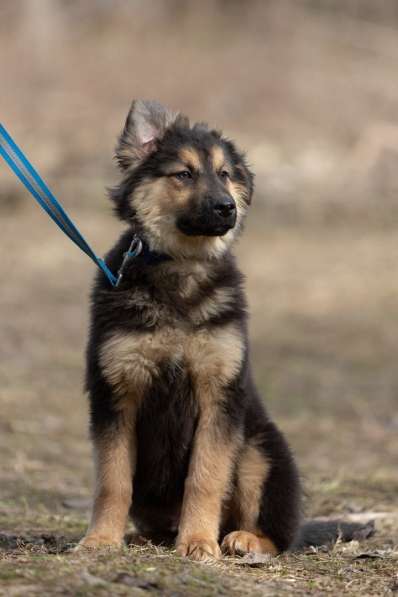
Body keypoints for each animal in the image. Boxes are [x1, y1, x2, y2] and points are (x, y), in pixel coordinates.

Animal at [78, 100, 366, 560]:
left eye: (226, 174)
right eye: (184, 174)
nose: (227, 207)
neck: (182, 266)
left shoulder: (219, 394)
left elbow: (205, 476)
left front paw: (198, 542)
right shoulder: (116, 391)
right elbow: (113, 479)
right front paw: (101, 539)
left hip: (258, 450)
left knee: (277, 534)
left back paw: (242, 539)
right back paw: (146, 535)